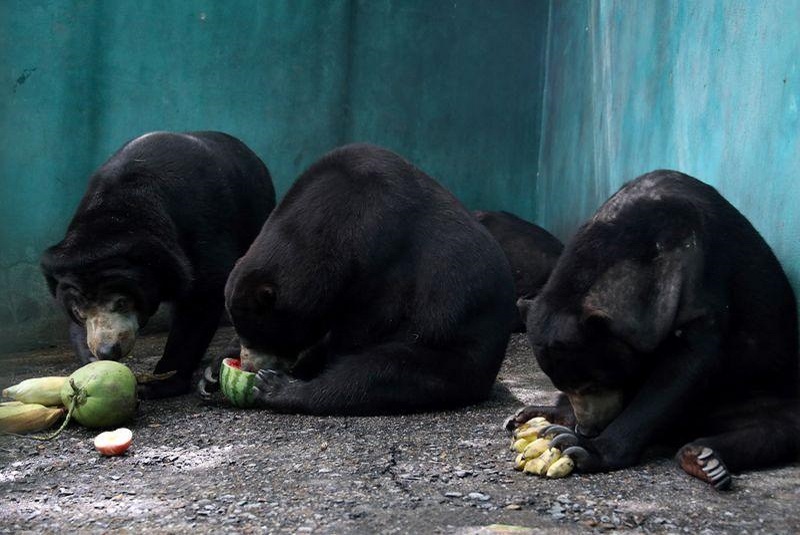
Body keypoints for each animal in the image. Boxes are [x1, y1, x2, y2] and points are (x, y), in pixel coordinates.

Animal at [41, 131, 278, 398]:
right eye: (80, 312)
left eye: (122, 302)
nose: (107, 350)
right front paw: (91, 362)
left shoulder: (202, 225)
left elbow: (203, 296)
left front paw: (161, 382)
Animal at [222, 142, 516, 414]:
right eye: (241, 328)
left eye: (256, 332)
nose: (248, 365)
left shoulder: (384, 258)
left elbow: (367, 328)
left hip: (452, 349)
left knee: (381, 372)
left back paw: (278, 388)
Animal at [506, 172, 800, 490]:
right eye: (567, 385)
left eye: (593, 383)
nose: (587, 428)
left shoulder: (702, 282)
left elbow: (682, 371)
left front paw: (583, 449)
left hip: (757, 389)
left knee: (775, 426)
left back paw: (703, 458)